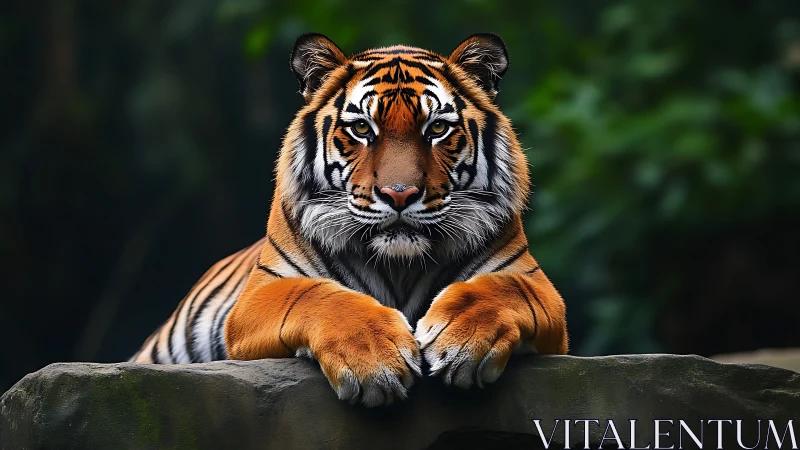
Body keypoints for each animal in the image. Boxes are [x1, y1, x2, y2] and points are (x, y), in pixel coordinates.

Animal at [130, 33, 568, 407]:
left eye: (438, 129)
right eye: (361, 128)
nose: (399, 194)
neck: (399, 266)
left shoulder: (534, 284)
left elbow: (500, 288)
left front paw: (460, 338)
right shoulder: (260, 294)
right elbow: (317, 296)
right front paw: (375, 358)